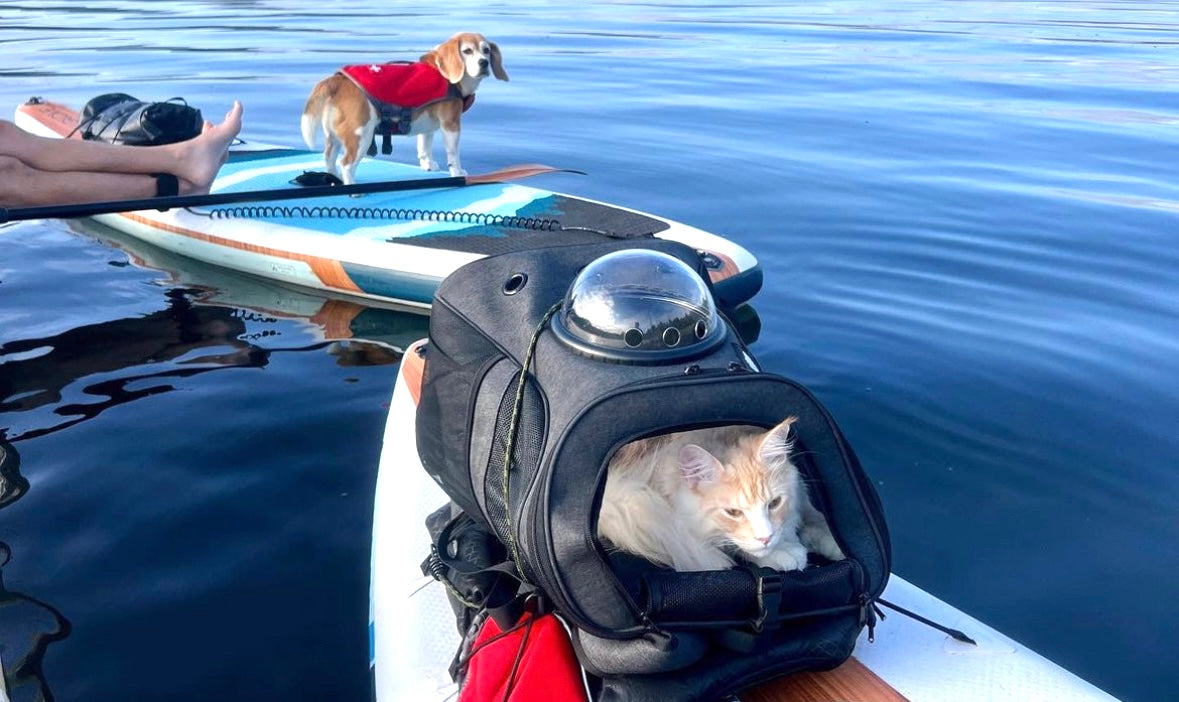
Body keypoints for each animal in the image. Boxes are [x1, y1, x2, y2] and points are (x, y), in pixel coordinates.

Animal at [299, 32, 506, 186]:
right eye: (467, 51)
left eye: (486, 50)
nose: (484, 63)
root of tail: (337, 80)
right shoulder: (451, 124)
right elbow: (453, 154)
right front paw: (457, 173)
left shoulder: (428, 124)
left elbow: (424, 146)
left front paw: (428, 164)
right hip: (360, 136)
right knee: (346, 164)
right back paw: (353, 188)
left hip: (333, 137)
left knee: (329, 158)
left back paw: (334, 179)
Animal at [603, 417, 844, 571]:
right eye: (733, 513)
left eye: (774, 503)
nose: (766, 538)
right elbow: (734, 545)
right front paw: (783, 552)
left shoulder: (799, 493)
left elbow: (813, 515)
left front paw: (835, 540)